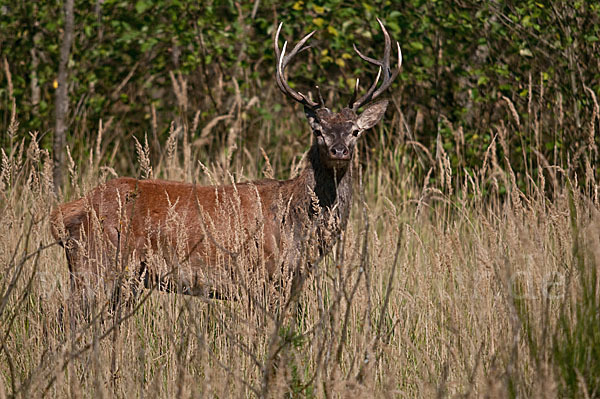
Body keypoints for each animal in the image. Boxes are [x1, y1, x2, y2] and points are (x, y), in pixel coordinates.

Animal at [49, 18, 400, 306]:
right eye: (318, 130)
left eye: (355, 131)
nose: (339, 150)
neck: (297, 224)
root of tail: (68, 211)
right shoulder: (262, 276)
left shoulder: (291, 281)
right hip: (99, 264)